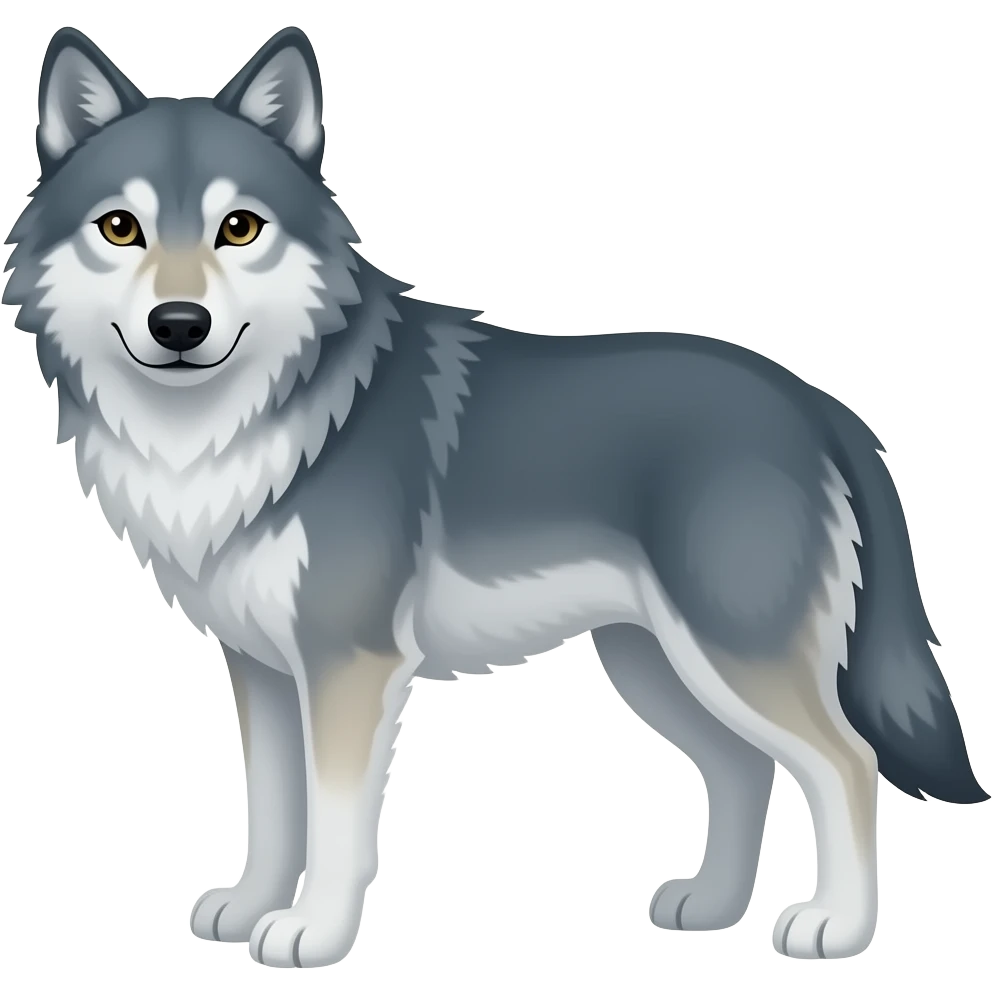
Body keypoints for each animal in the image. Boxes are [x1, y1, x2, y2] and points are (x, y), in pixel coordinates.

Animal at [2, 24, 987, 969]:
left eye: (239, 228)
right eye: (120, 228)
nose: (180, 325)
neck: (242, 427)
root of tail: (819, 403)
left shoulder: (348, 666)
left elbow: (337, 824)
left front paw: (311, 934)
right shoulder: (261, 669)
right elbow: (273, 811)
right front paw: (248, 910)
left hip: (728, 656)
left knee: (847, 764)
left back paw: (835, 929)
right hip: (656, 665)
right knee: (745, 770)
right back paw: (710, 909)